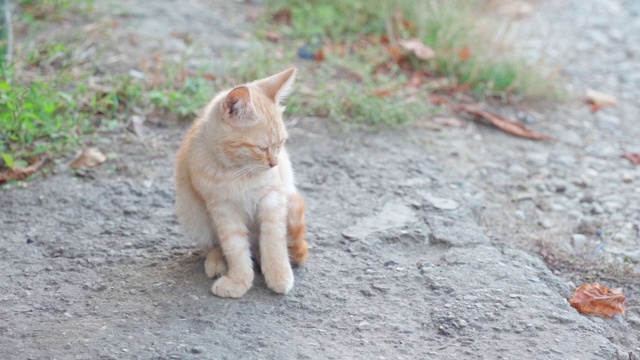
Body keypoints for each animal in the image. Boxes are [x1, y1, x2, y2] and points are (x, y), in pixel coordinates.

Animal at [172, 67, 308, 298]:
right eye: (262, 147)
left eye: (280, 144)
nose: (274, 163)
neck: (238, 173)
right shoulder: (223, 209)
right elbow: (234, 246)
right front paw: (239, 280)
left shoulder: (273, 198)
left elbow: (273, 239)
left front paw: (278, 274)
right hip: (192, 214)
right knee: (212, 245)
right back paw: (216, 261)